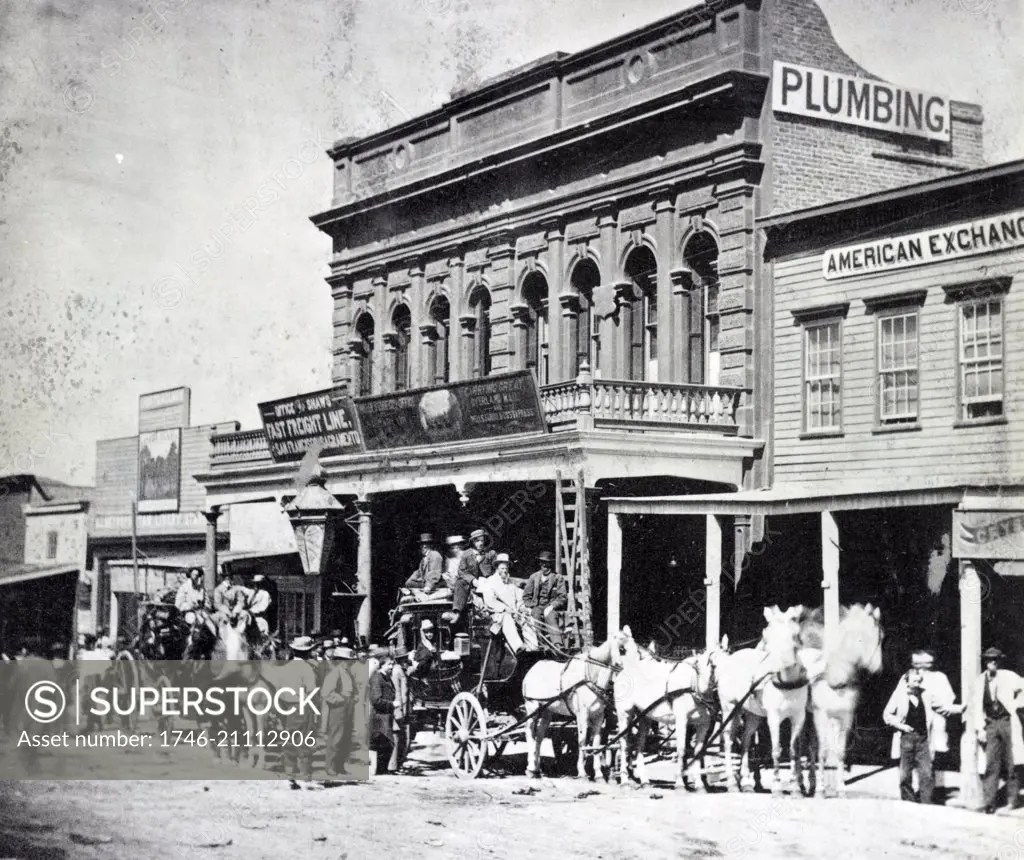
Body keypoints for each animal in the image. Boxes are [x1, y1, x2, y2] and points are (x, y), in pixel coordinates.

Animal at [524, 630, 626, 778]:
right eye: (622, 649)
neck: (590, 677)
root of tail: (532, 669)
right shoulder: (582, 715)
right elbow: (582, 740)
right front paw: (582, 772)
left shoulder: (599, 716)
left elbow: (596, 741)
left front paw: (598, 773)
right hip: (532, 707)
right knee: (529, 732)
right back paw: (530, 768)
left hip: (547, 711)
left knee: (539, 736)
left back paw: (537, 769)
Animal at [614, 626, 720, 790]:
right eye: (697, 667)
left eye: (714, 667)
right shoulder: (682, 720)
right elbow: (681, 749)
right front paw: (680, 784)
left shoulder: (704, 724)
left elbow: (698, 752)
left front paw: (699, 785)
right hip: (624, 714)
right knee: (624, 744)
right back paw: (625, 781)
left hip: (644, 717)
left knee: (639, 744)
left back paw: (644, 781)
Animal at [712, 606, 806, 794]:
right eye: (766, 634)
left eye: (794, 634)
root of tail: (729, 660)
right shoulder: (774, 717)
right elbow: (776, 750)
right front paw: (777, 787)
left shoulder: (798, 717)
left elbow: (794, 751)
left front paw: (797, 787)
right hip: (728, 709)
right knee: (728, 741)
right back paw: (732, 783)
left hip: (751, 714)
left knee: (746, 741)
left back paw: (746, 782)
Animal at [794, 606, 884, 798]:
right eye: (860, 638)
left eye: (882, 637)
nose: (878, 669)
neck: (834, 678)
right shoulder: (821, 715)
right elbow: (823, 751)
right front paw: (821, 790)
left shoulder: (844, 717)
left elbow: (840, 752)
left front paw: (841, 788)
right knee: (799, 747)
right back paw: (801, 784)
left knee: (809, 746)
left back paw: (810, 783)